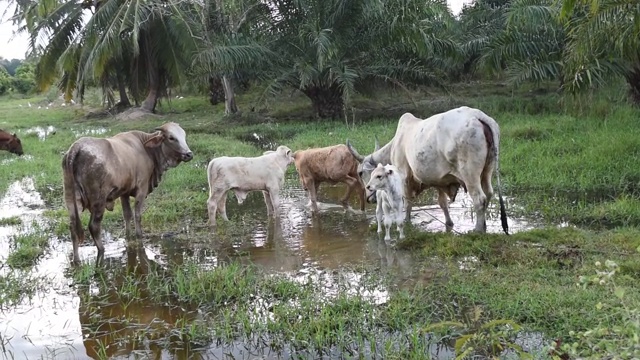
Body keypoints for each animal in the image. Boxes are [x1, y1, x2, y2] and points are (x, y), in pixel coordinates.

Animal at [62, 121, 192, 264]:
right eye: (171, 137)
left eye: (183, 135)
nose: (189, 154)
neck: (147, 149)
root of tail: (77, 147)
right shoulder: (141, 188)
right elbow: (137, 215)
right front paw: (139, 235)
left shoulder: (124, 193)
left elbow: (127, 215)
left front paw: (128, 236)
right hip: (98, 200)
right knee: (94, 226)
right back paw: (101, 250)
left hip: (71, 199)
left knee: (73, 227)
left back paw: (76, 260)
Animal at [348, 105, 508, 235]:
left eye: (360, 173)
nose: (369, 198)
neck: (396, 143)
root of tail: (478, 116)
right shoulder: (440, 180)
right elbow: (442, 203)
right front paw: (449, 223)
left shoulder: (404, 176)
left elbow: (407, 201)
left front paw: (406, 221)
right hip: (488, 170)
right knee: (488, 193)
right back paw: (484, 225)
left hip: (469, 173)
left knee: (479, 199)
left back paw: (477, 230)